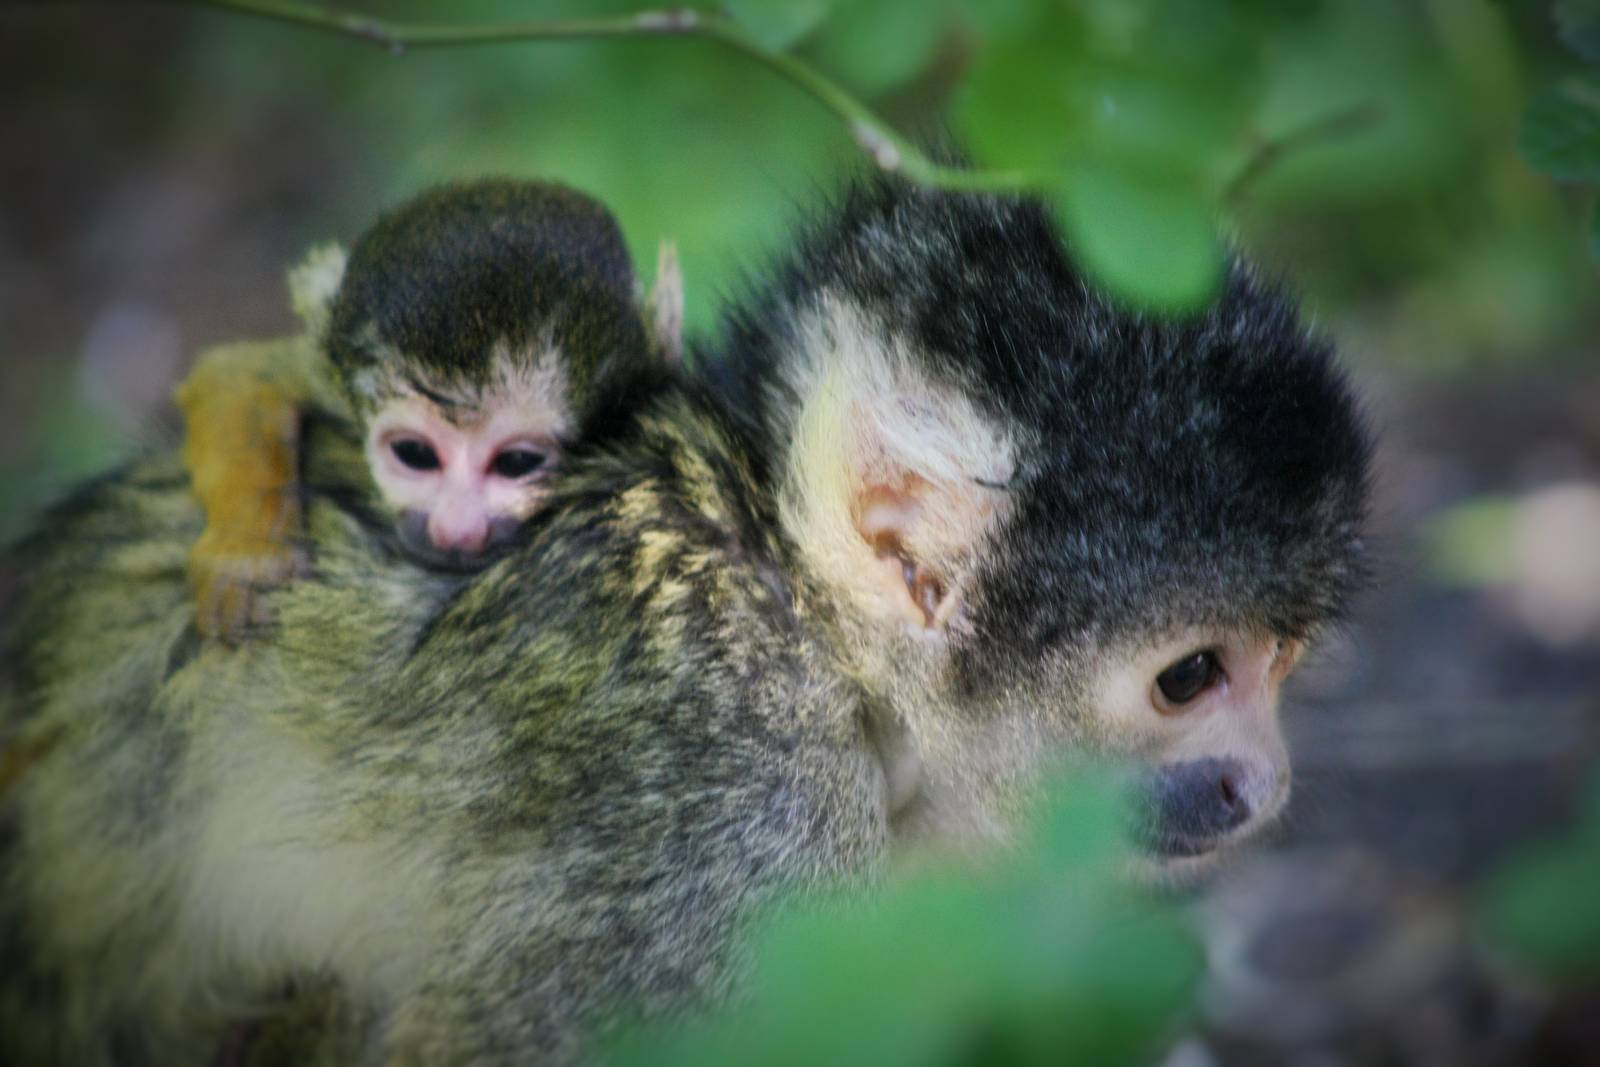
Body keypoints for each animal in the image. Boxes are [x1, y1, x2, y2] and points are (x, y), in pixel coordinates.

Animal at [177, 178, 682, 639]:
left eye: (517, 462)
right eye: (415, 454)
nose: (455, 532)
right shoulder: (328, 374)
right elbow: (239, 374)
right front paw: (246, 556)